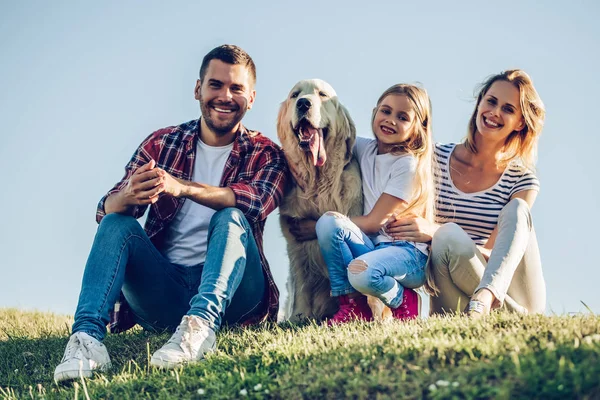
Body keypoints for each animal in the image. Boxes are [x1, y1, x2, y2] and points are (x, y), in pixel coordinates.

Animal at [276, 79, 390, 324]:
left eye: (322, 94)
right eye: (295, 95)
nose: (303, 103)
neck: (318, 183)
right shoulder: (295, 243)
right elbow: (301, 283)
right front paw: (298, 317)